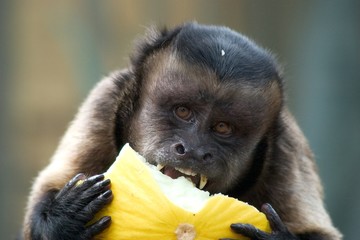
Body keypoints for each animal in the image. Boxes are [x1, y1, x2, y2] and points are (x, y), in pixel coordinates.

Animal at [21, 22, 342, 238]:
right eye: (183, 111)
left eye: (222, 127)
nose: (194, 150)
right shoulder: (105, 101)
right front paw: (64, 218)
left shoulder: (286, 146)